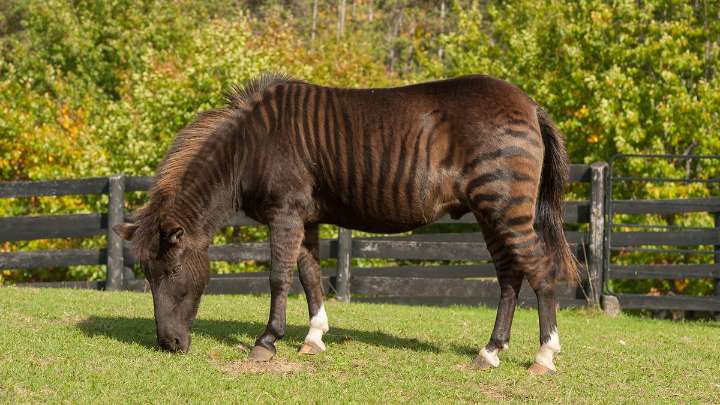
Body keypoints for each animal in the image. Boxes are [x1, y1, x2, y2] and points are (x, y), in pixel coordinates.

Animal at [113, 73, 577, 375]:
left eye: (172, 270)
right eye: (146, 276)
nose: (168, 346)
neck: (248, 148)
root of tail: (530, 104)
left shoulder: (284, 213)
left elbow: (279, 277)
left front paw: (266, 342)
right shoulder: (306, 217)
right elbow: (310, 276)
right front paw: (313, 338)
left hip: (503, 205)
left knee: (540, 270)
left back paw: (544, 357)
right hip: (489, 211)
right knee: (510, 276)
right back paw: (491, 351)